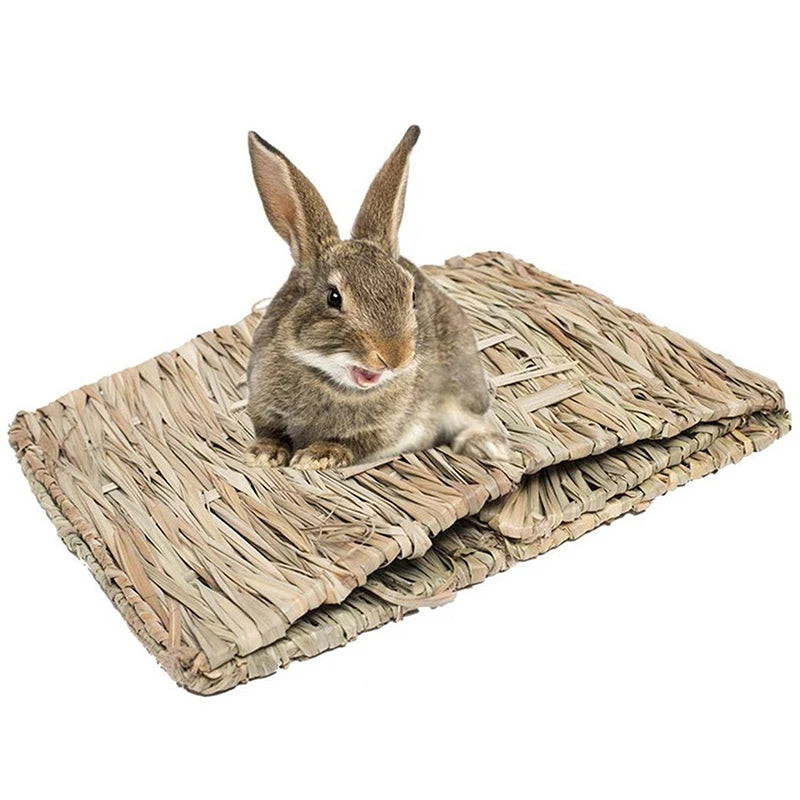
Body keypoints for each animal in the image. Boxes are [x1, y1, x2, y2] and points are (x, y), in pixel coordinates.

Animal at [245, 125, 510, 470]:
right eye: (333, 297)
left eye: (411, 294)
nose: (396, 356)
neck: (330, 379)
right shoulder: (262, 404)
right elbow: (270, 432)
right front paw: (262, 453)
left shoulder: (382, 432)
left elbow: (352, 445)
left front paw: (317, 456)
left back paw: (487, 447)